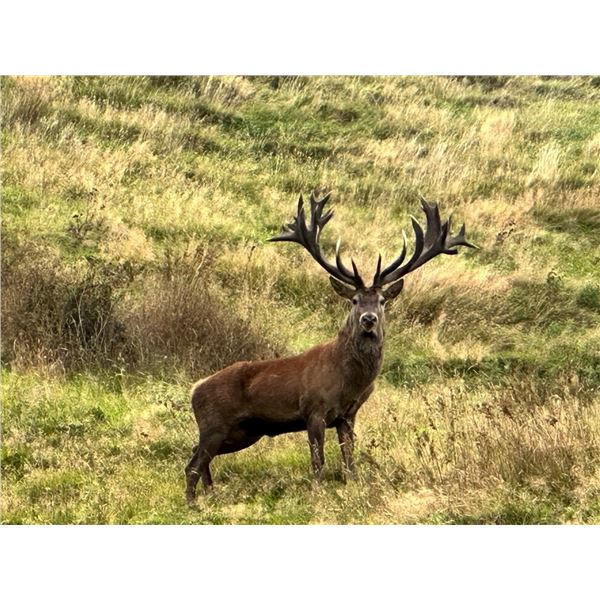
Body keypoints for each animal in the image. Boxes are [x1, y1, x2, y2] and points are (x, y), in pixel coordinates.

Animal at [185, 191, 476, 502]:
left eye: (382, 301)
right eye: (355, 300)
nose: (369, 320)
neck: (348, 381)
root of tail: (194, 389)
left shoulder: (348, 415)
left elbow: (349, 461)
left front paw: (352, 487)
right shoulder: (314, 409)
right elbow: (318, 461)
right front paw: (317, 493)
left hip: (243, 432)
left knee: (199, 458)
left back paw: (209, 495)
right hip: (215, 423)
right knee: (192, 464)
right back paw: (192, 503)